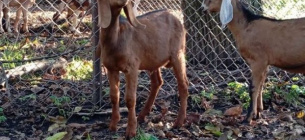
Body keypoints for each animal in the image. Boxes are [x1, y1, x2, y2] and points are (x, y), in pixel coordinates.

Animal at [97, 0, 188, 138]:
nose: (126, 1)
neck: (116, 39)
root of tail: (175, 15)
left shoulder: (132, 68)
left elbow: (130, 99)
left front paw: (130, 131)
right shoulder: (111, 69)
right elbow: (114, 96)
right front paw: (113, 126)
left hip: (178, 54)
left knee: (183, 85)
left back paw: (179, 122)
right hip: (153, 60)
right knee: (157, 82)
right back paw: (142, 115)